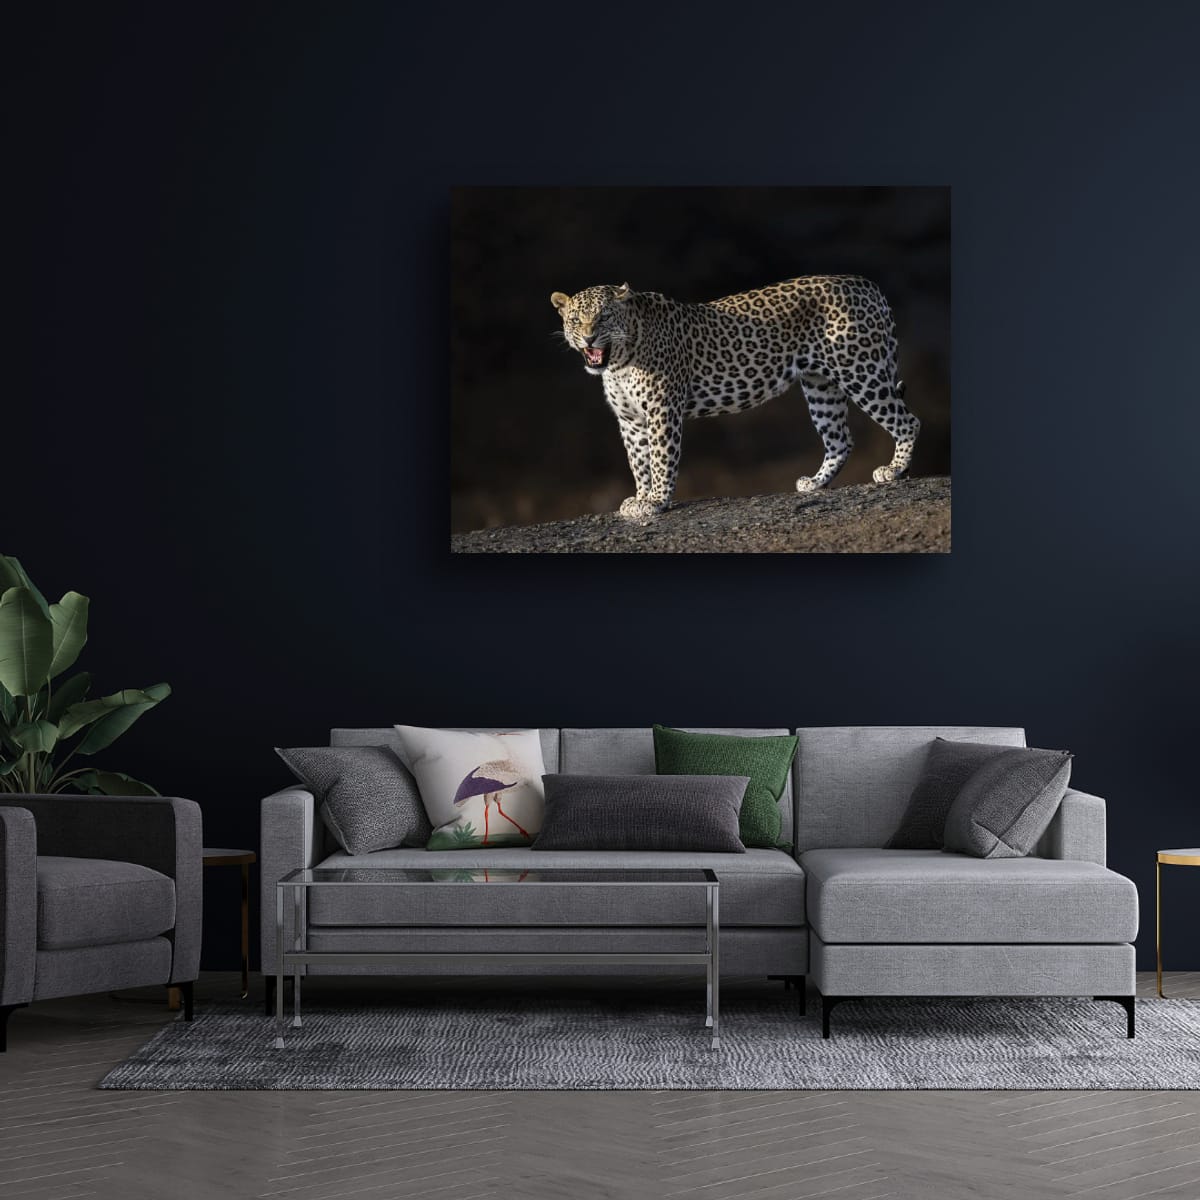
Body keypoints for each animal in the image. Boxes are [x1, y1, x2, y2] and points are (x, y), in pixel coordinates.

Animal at [550, 276, 920, 523]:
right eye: (575, 320)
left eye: (603, 317)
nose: (588, 338)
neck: (620, 362)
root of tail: (866, 285)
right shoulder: (630, 420)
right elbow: (638, 463)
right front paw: (641, 497)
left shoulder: (662, 411)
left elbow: (660, 459)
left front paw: (656, 501)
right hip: (821, 385)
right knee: (840, 439)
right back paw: (815, 483)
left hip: (860, 369)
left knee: (907, 421)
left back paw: (894, 469)